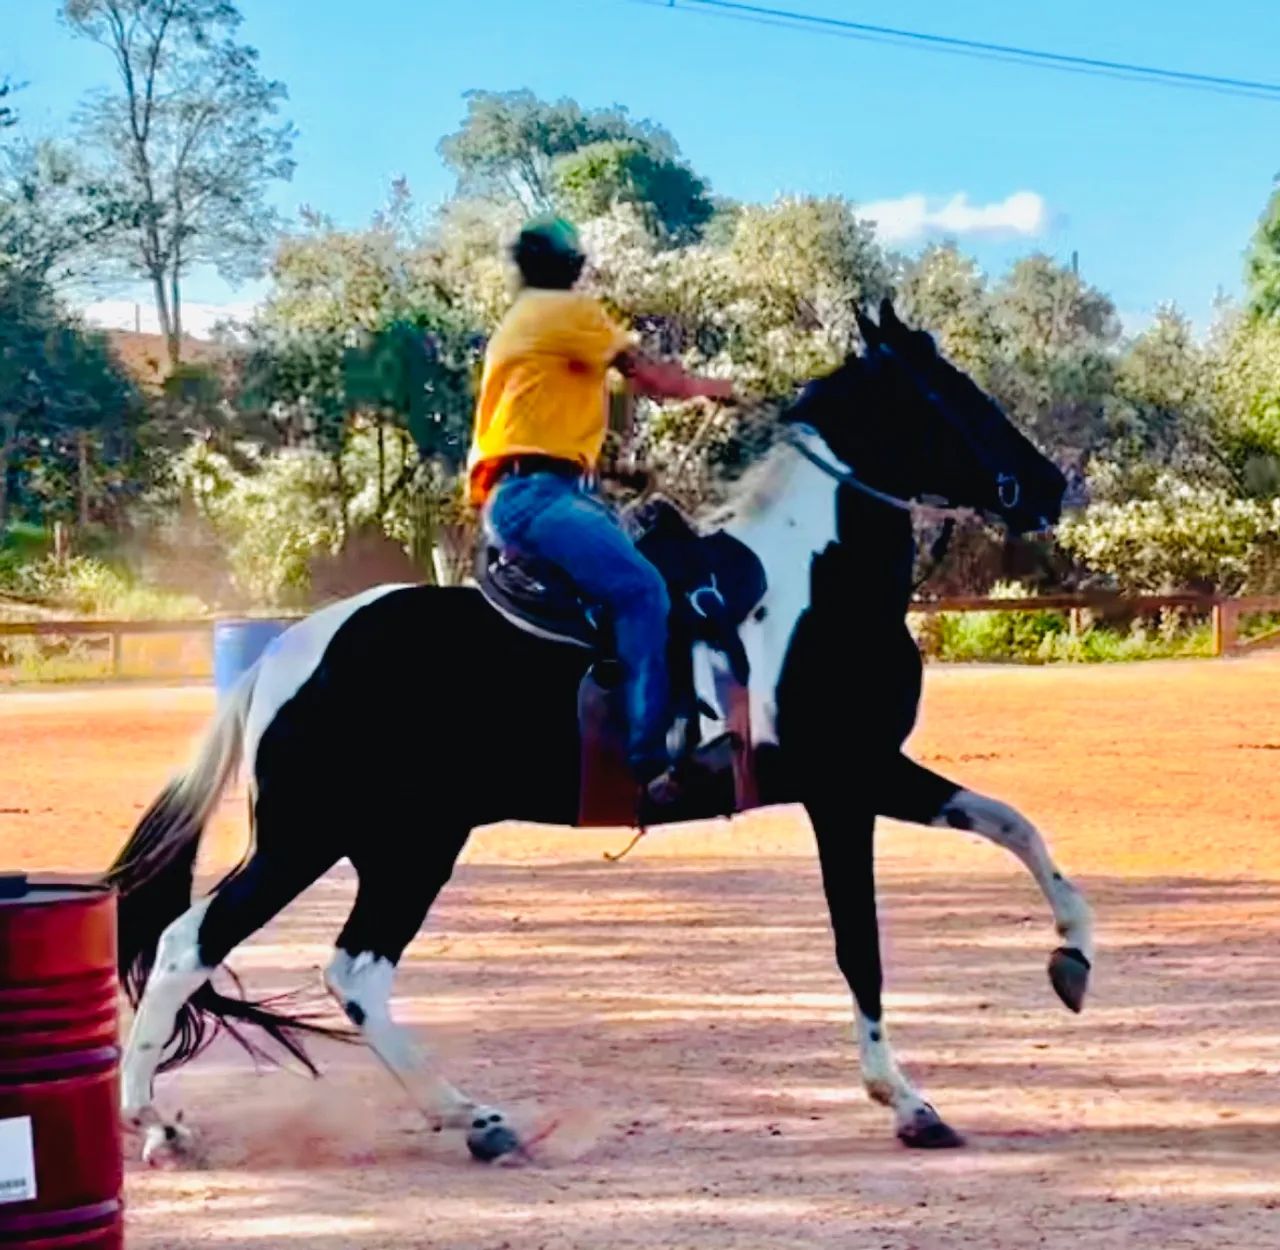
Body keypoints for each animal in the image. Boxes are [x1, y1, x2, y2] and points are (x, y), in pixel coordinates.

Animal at [108, 298, 1094, 1165]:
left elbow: (1015, 825)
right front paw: (909, 1102)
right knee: (193, 947)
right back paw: (158, 1124)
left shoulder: (874, 774)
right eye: (952, 390)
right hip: (317, 839)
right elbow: (865, 948)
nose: (1048, 485)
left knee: (354, 970)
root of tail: (287, 654)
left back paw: (471, 1120)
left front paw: (1072, 960)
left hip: (408, 841)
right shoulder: (847, 785)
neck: (811, 583)